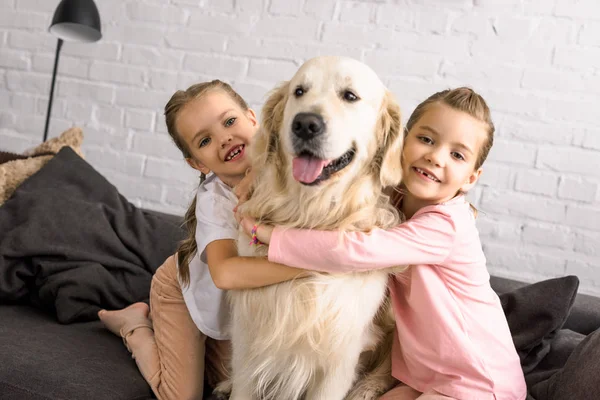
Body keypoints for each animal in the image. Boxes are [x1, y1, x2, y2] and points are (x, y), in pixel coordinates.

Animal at [226, 56, 408, 400]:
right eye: (299, 91)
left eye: (350, 96)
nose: (305, 124)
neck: (311, 216)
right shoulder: (247, 338)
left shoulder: (339, 359)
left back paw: (367, 388)